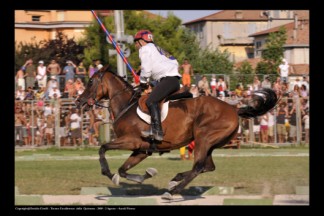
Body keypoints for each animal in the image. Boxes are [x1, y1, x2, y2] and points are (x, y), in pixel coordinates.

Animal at [74, 66, 278, 197]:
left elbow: (103, 149)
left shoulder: (132, 141)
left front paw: (111, 175)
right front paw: (144, 176)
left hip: (203, 138)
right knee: (207, 166)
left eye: (90, 81)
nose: (79, 102)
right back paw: (175, 180)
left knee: (198, 167)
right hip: (209, 143)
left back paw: (172, 191)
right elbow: (123, 170)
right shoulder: (142, 150)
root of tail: (233, 108)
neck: (126, 105)